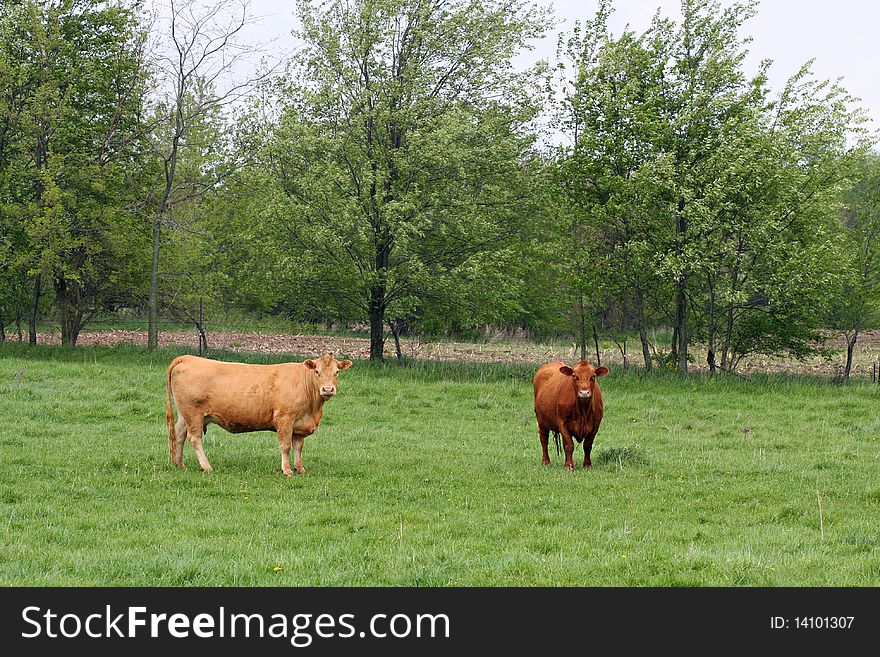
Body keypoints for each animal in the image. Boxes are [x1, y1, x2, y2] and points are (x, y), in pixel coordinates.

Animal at [167, 354, 352, 476]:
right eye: (317, 372)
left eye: (337, 372)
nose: (328, 389)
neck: (312, 409)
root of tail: (189, 358)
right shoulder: (285, 419)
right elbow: (285, 446)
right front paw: (287, 470)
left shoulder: (300, 425)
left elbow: (298, 447)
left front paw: (300, 468)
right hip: (193, 413)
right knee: (194, 438)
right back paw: (206, 466)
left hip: (185, 414)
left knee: (179, 434)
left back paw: (179, 464)